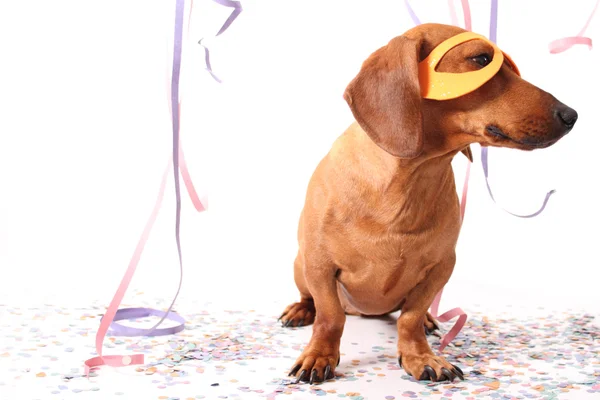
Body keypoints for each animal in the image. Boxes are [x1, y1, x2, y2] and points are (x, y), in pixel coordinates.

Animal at [278, 22, 580, 384]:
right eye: (481, 59)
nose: (572, 115)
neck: (407, 185)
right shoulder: (319, 265)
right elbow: (330, 316)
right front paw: (319, 355)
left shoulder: (441, 267)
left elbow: (410, 316)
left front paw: (421, 356)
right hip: (300, 265)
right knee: (311, 299)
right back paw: (300, 309)